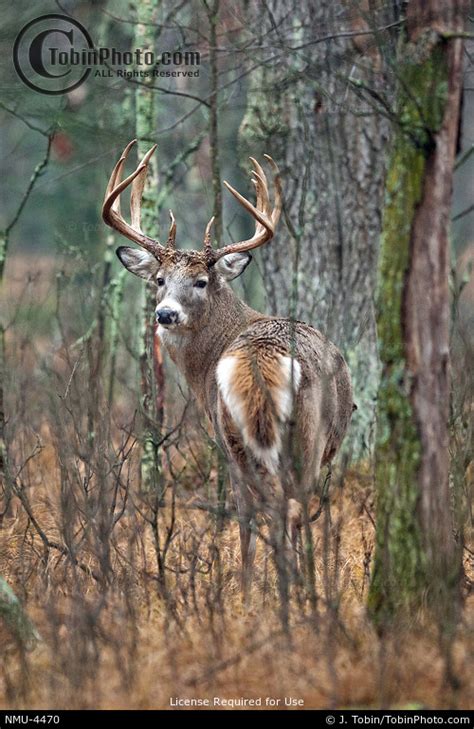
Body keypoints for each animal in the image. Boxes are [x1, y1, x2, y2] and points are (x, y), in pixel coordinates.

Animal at [102, 139, 354, 596]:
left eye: (201, 281)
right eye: (160, 279)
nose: (165, 314)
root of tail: (260, 358)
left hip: (244, 437)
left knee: (269, 508)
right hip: (298, 435)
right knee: (283, 507)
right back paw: (290, 588)